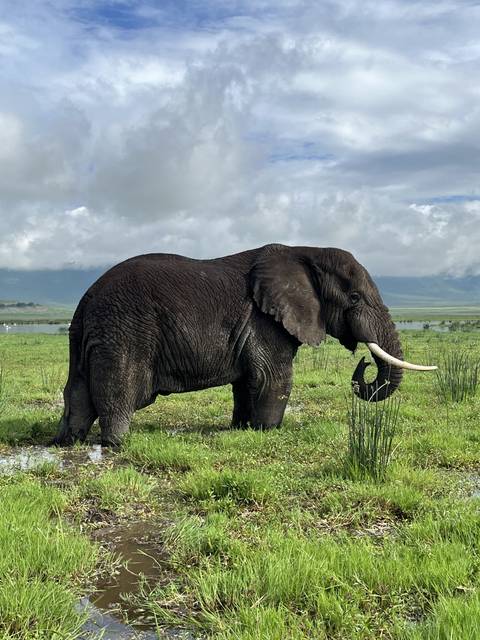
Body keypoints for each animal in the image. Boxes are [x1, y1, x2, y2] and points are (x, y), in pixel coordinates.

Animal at [54, 243, 436, 447]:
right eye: (354, 298)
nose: (364, 362)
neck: (304, 252)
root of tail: (87, 297)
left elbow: (246, 382)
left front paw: (241, 429)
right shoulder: (266, 321)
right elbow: (273, 378)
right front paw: (268, 431)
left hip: (86, 334)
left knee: (76, 389)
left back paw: (67, 440)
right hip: (125, 330)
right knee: (119, 389)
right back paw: (116, 444)